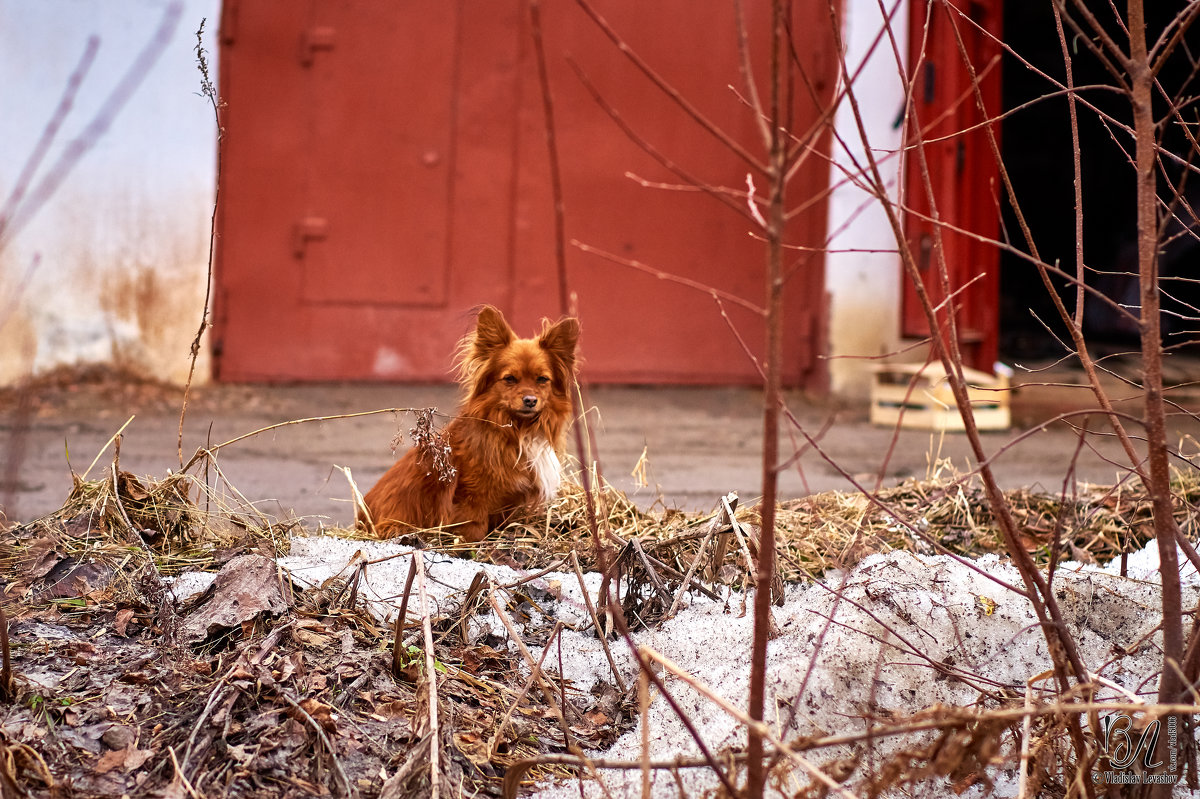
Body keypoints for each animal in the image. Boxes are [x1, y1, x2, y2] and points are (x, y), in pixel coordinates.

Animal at [357, 304, 578, 542]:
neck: (518, 430)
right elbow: (474, 529)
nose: (530, 400)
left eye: (542, 380)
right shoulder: (471, 497)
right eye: (509, 379)